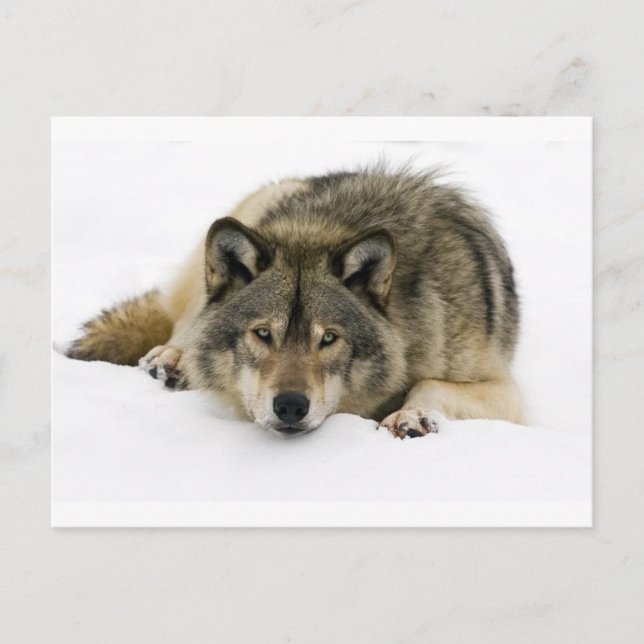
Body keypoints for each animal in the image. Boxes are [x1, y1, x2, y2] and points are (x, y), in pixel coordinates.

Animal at [66, 166, 523, 438]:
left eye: (329, 338)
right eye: (263, 333)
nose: (290, 405)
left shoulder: (508, 395)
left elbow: (427, 384)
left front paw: (410, 416)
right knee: (186, 321)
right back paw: (172, 360)